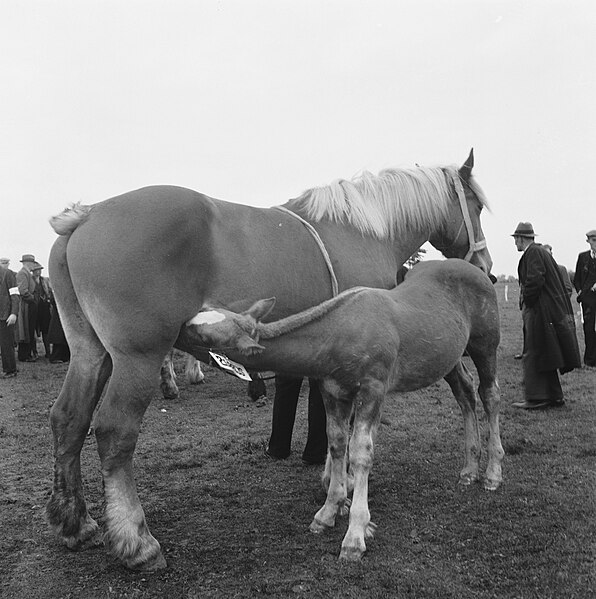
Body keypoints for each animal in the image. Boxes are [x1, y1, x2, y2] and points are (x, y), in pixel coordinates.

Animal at [179, 258, 506, 564]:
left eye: (205, 337)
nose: (177, 326)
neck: (339, 333)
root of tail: (478, 271)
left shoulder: (373, 390)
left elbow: (360, 452)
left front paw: (355, 535)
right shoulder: (333, 391)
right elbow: (336, 443)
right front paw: (328, 511)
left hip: (485, 344)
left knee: (489, 395)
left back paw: (492, 473)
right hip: (448, 357)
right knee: (465, 393)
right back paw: (469, 469)